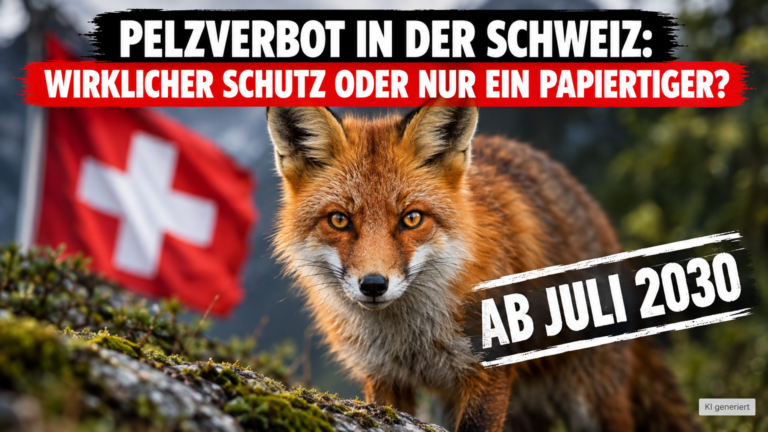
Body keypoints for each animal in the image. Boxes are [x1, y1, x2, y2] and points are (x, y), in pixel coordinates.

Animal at [266, 106, 698, 432]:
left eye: (411, 219)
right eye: (339, 220)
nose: (373, 285)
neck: (413, 339)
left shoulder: (488, 370)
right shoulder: (385, 379)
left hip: (590, 399)